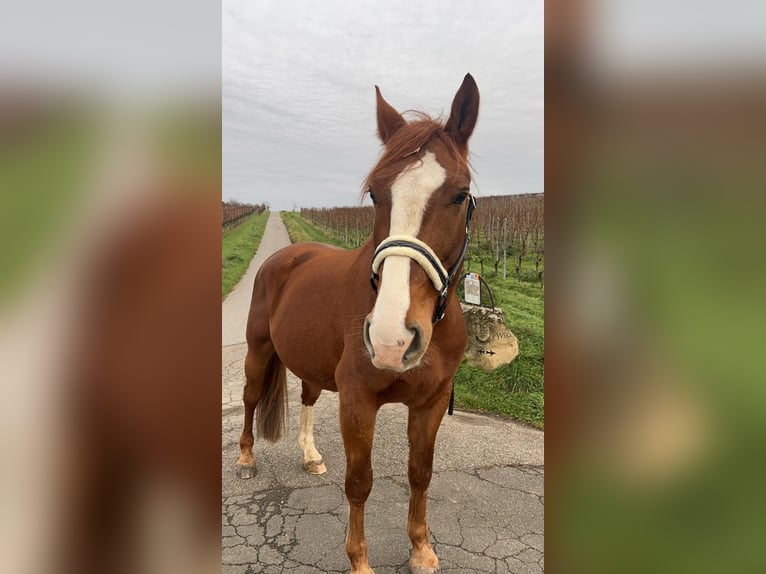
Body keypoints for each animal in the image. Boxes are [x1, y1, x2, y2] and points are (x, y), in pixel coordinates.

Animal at [238, 75, 480, 574]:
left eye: (460, 194)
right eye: (375, 194)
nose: (391, 340)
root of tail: (283, 256)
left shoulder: (431, 402)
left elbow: (420, 473)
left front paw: (421, 548)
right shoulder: (357, 400)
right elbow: (359, 482)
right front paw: (359, 560)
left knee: (308, 398)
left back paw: (310, 455)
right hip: (258, 351)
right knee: (250, 398)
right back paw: (246, 457)